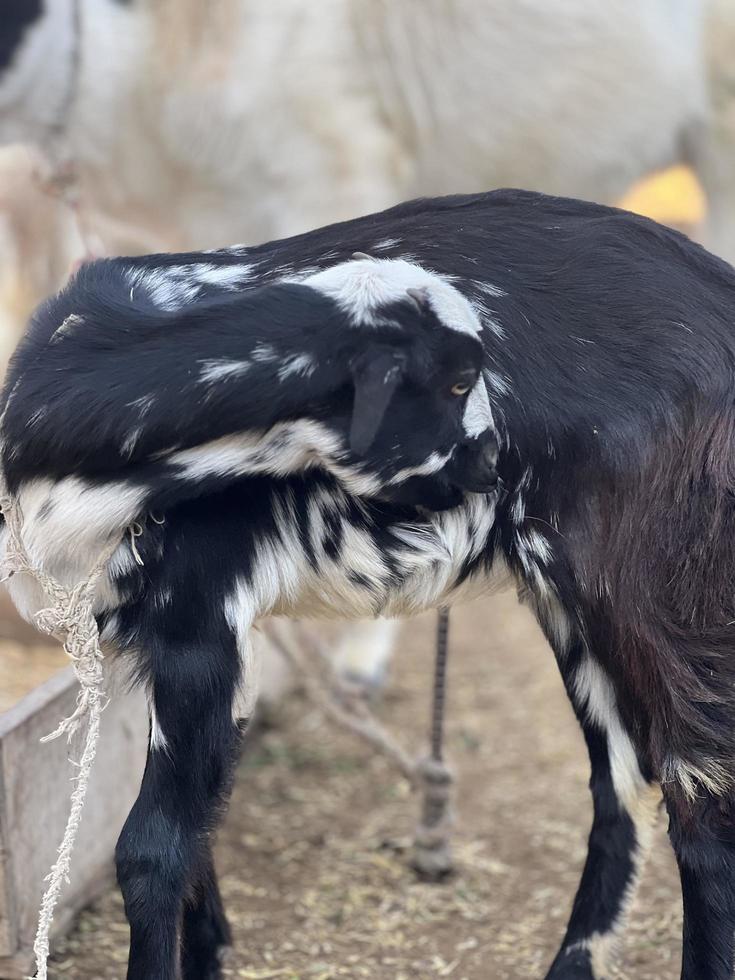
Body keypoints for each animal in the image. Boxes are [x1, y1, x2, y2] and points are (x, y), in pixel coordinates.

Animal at [2, 188, 732, 976]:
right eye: (455, 381)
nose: (490, 461)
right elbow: (199, 823)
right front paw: (210, 952)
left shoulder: (200, 617)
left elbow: (151, 849)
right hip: (571, 602)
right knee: (620, 777)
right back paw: (573, 961)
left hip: (654, 580)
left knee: (700, 797)